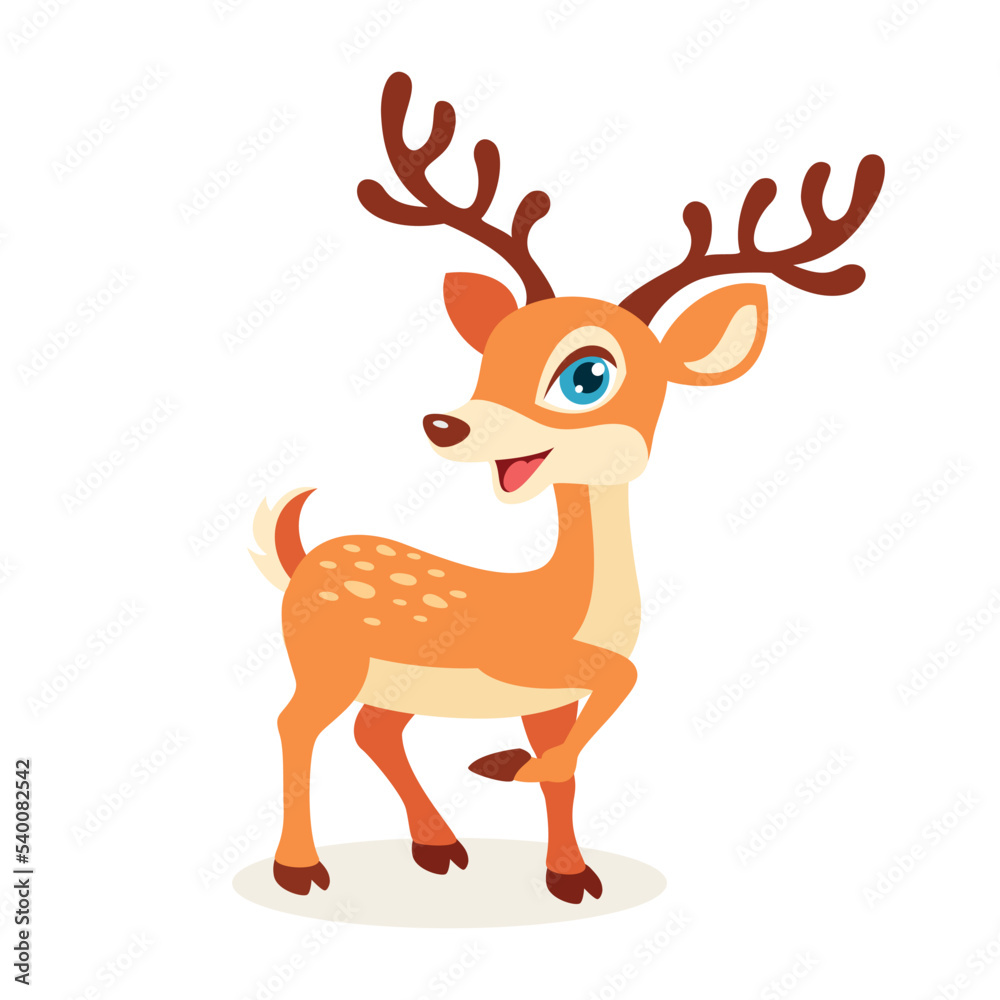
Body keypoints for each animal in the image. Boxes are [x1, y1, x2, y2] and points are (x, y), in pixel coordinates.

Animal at [250, 71, 884, 903]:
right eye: (489, 353)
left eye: (588, 374)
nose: (446, 424)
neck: (569, 605)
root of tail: (302, 560)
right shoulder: (519, 664)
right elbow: (623, 675)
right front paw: (511, 771)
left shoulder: (547, 699)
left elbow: (574, 764)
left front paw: (569, 868)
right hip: (325, 658)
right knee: (296, 725)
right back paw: (301, 869)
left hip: (391, 682)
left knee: (371, 731)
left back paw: (438, 846)